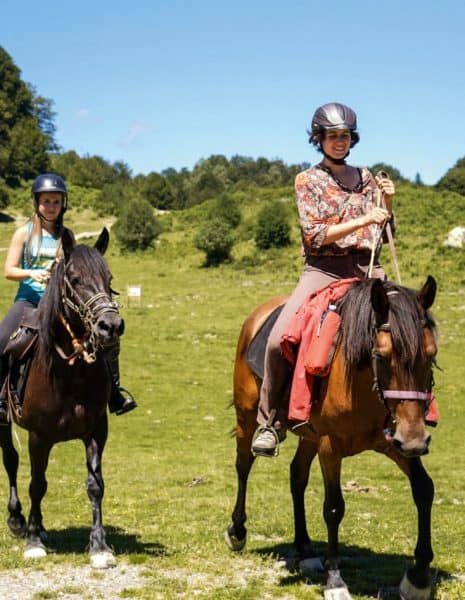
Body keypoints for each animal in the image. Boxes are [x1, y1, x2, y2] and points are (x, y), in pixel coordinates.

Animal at [0, 226, 123, 568]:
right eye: (76, 279)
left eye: (109, 278)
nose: (111, 326)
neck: (70, 373)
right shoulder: (38, 436)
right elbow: (36, 484)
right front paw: (32, 542)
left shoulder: (97, 431)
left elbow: (95, 485)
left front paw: (99, 546)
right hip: (2, 422)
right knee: (11, 462)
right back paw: (18, 521)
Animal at [227, 276, 436, 600]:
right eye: (381, 356)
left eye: (431, 354)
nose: (416, 441)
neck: (362, 385)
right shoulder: (330, 446)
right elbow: (334, 507)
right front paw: (335, 580)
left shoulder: (394, 441)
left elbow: (424, 489)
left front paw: (418, 578)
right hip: (247, 417)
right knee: (243, 466)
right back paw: (237, 531)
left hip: (309, 436)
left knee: (297, 476)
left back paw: (305, 549)